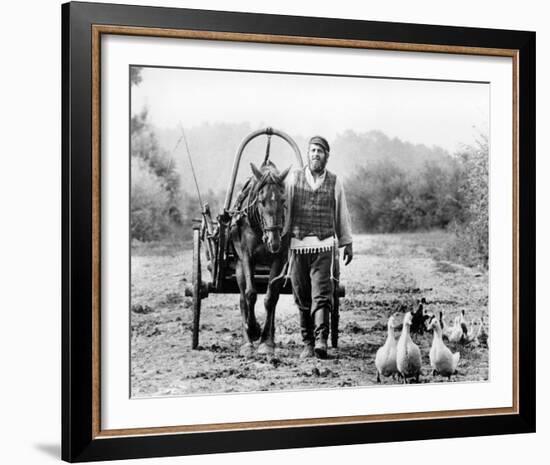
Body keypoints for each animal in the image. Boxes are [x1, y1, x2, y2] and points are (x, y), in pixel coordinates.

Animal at [230, 160, 292, 356]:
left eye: (283, 200)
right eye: (261, 201)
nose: (274, 241)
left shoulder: (280, 259)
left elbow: (270, 298)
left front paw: (266, 342)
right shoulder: (247, 257)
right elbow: (250, 294)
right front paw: (253, 330)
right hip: (239, 266)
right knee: (243, 298)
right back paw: (247, 340)